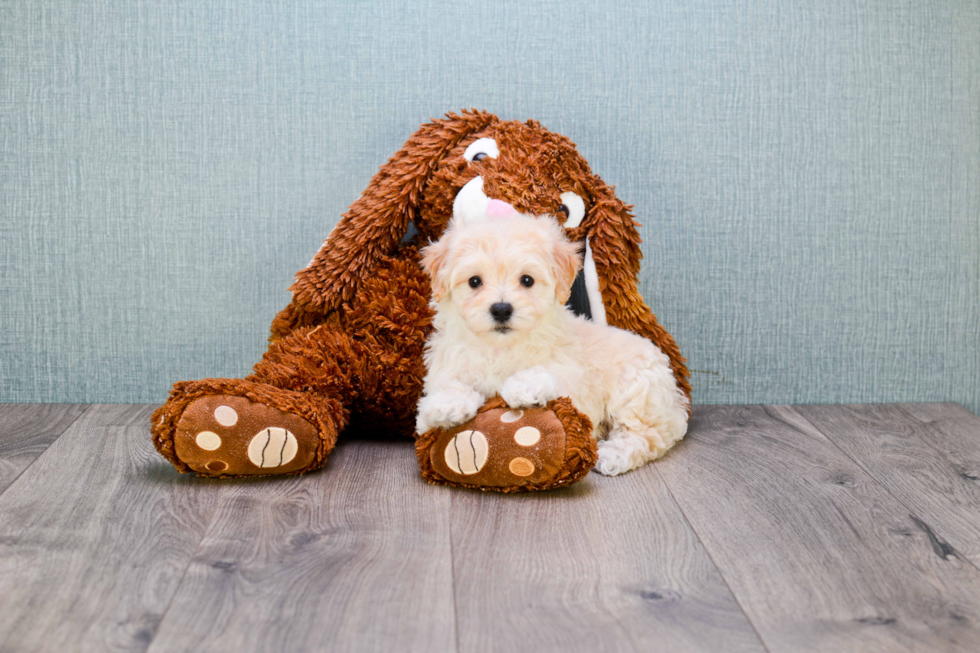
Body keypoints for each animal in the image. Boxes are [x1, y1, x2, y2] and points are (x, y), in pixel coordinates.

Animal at [416, 213, 688, 474]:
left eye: (527, 280)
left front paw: (523, 387)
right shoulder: (446, 366)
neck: (502, 347)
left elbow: (551, 374)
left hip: (637, 390)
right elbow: (444, 391)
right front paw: (447, 404)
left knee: (648, 434)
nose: (501, 309)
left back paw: (614, 455)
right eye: (474, 281)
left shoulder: (574, 379)